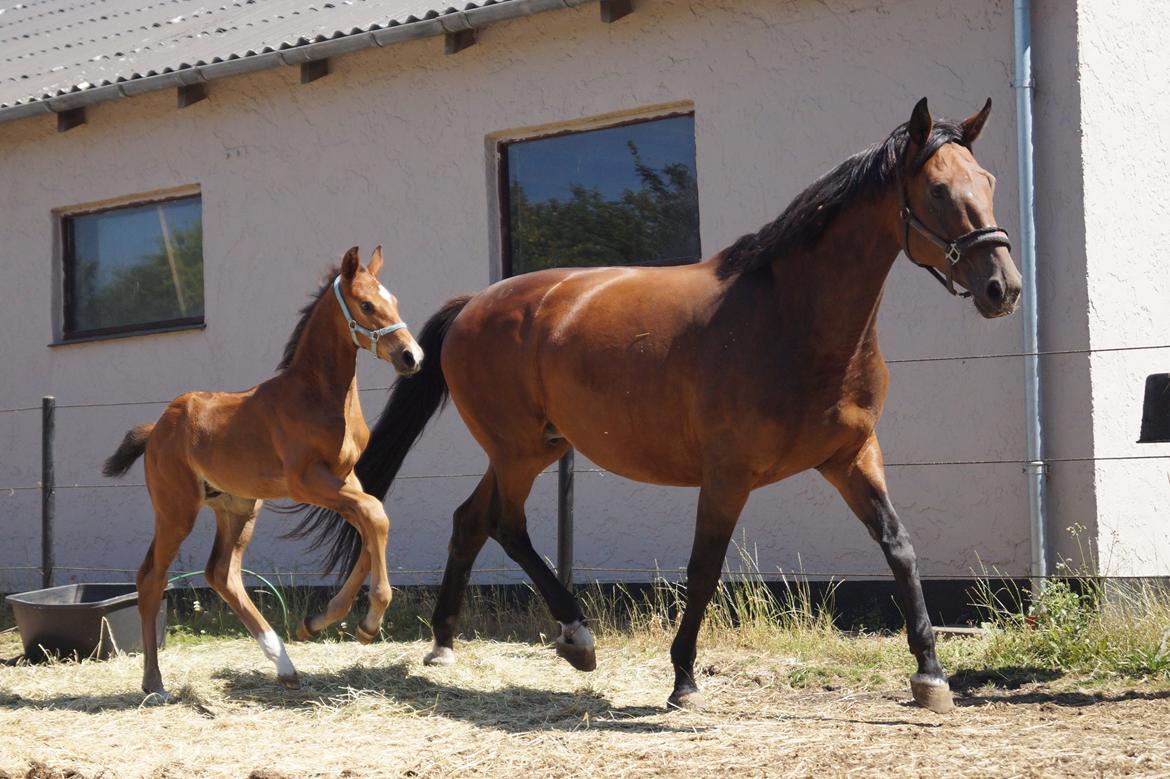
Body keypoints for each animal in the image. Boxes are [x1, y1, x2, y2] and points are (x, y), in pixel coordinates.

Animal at [100, 245, 421, 692]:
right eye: (366, 305)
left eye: (394, 301)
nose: (412, 356)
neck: (317, 396)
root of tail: (158, 426)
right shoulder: (307, 481)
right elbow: (374, 515)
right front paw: (369, 622)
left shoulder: (344, 478)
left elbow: (370, 525)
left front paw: (316, 622)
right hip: (176, 510)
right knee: (151, 577)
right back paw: (154, 683)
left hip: (239, 508)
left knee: (222, 574)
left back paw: (283, 663)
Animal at [297, 100, 1020, 711]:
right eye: (937, 190)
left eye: (985, 179)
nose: (1002, 287)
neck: (792, 319)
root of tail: (475, 302)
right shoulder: (728, 475)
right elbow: (703, 568)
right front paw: (683, 678)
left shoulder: (852, 456)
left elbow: (900, 547)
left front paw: (930, 674)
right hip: (520, 450)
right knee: (505, 523)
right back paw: (576, 635)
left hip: (535, 446)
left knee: (472, 520)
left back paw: (446, 644)